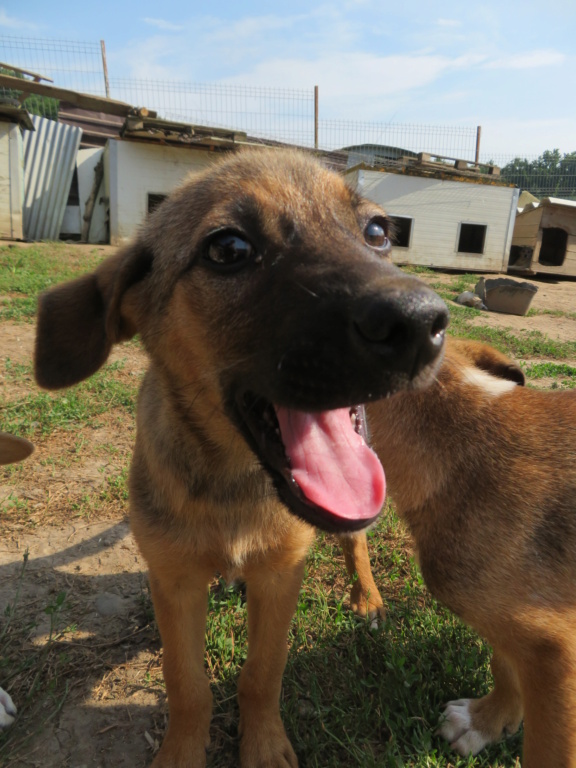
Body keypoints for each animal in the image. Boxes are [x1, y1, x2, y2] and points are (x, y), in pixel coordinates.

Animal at [31, 147, 448, 764]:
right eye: (228, 249)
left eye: (377, 232)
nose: (421, 323)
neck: (234, 477)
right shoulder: (174, 580)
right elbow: (187, 683)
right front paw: (181, 752)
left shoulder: (281, 573)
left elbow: (262, 673)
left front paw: (265, 746)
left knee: (356, 541)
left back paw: (367, 598)